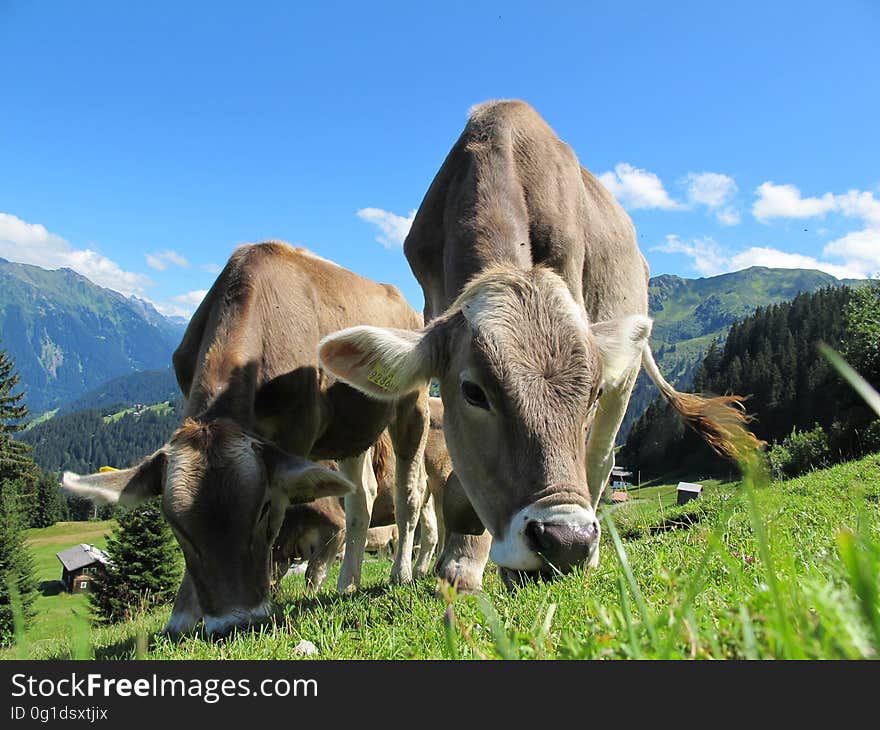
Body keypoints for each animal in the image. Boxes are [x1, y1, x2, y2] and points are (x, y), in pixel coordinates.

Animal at [60, 242, 428, 636]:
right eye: (174, 524)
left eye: (262, 508)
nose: (234, 622)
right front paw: (183, 615)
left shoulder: (295, 436)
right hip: (351, 430)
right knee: (362, 496)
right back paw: (348, 582)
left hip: (413, 405)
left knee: (409, 492)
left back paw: (401, 573)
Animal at [320, 102, 760, 588]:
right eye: (473, 392)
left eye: (591, 393)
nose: (567, 541)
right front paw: (460, 562)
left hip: (625, 378)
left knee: (601, 458)